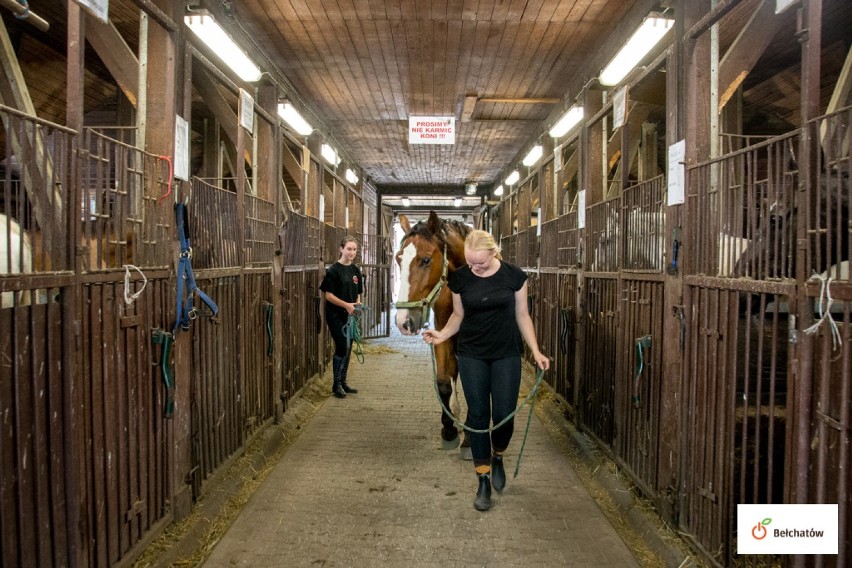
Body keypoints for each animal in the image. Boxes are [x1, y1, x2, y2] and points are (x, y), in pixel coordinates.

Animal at [394, 209, 472, 452]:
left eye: (426, 259)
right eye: (398, 258)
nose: (403, 321)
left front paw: (470, 438)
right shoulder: (443, 332)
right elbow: (444, 382)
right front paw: (449, 429)